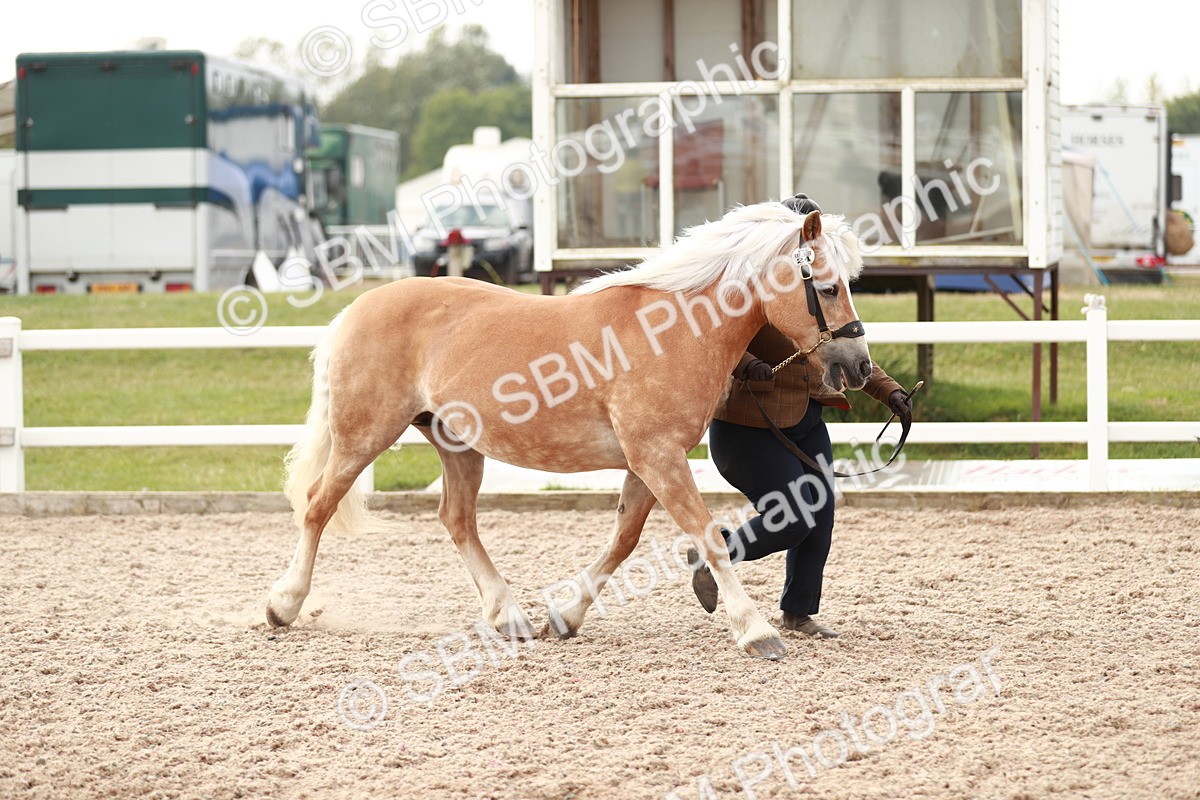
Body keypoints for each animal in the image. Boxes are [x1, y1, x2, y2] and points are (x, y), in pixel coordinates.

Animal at [265, 202, 872, 659]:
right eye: (827, 286)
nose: (860, 366)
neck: (671, 331)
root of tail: (356, 309)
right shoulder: (658, 457)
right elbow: (708, 537)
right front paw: (756, 631)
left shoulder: (647, 463)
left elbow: (623, 542)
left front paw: (565, 616)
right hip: (364, 435)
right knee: (318, 506)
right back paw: (283, 605)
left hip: (456, 444)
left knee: (457, 520)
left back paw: (508, 615)